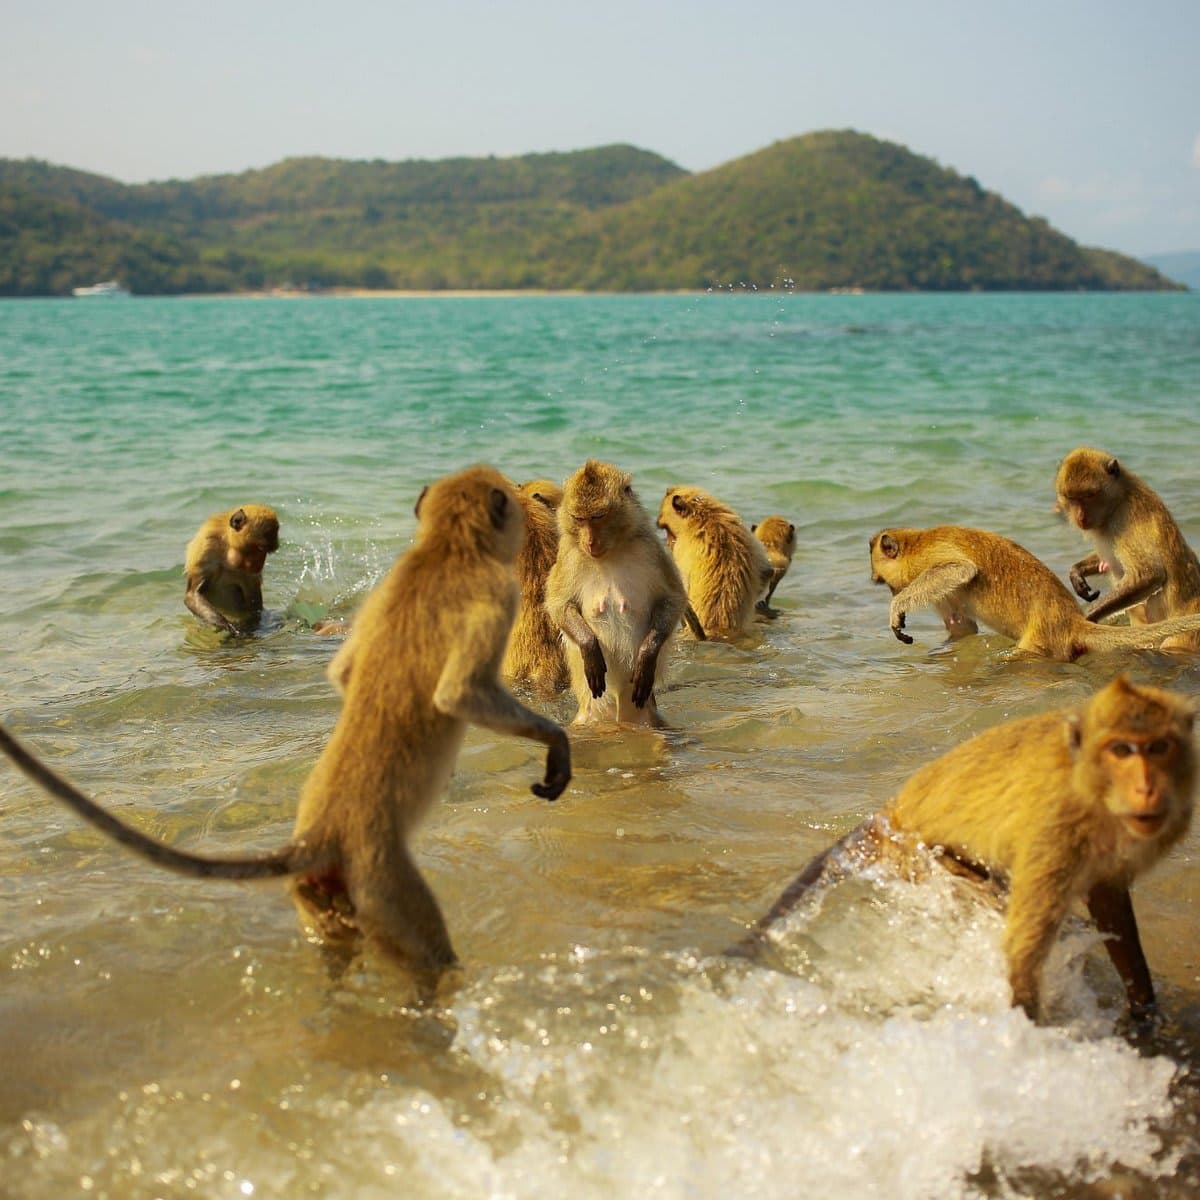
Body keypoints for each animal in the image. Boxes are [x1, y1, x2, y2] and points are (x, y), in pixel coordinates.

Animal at [184, 504, 280, 634]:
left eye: (266, 552)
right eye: (261, 548)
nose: (260, 563)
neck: (229, 547)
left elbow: (253, 600)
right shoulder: (206, 546)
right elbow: (192, 594)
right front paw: (225, 625)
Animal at [544, 459, 688, 727]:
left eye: (598, 516)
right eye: (579, 518)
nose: (590, 542)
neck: (612, 550)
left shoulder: (649, 547)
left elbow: (673, 598)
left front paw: (646, 656)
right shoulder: (569, 553)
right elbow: (559, 605)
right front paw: (589, 646)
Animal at [740, 675, 1196, 1021]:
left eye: (1158, 748)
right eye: (1122, 750)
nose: (1146, 786)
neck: (1093, 787)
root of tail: (891, 810)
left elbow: (1108, 899)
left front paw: (1145, 1011)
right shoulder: (1058, 828)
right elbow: (1023, 950)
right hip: (914, 853)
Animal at [869, 525, 1200, 661]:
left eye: (884, 582)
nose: (893, 590)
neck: (916, 543)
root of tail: (1072, 622)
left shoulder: (932, 557)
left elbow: (961, 569)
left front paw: (897, 607)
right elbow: (962, 627)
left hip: (1043, 641)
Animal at [1055, 448, 1200, 651]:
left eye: (1090, 495)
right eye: (1072, 498)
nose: (1080, 517)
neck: (1118, 499)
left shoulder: (1125, 519)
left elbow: (1149, 574)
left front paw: (1087, 618)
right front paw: (1076, 572)